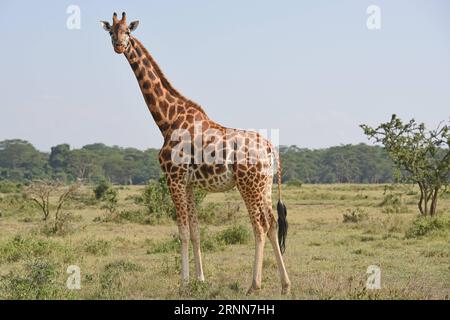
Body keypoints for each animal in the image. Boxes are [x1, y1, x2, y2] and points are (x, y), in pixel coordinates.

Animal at [101, 12, 292, 294]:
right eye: (111, 31)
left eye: (128, 31)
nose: (118, 45)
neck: (167, 120)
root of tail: (270, 149)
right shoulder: (189, 183)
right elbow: (195, 230)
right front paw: (200, 279)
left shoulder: (174, 179)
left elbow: (181, 231)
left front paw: (183, 282)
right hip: (264, 184)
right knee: (272, 224)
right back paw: (285, 285)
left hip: (248, 184)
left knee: (259, 226)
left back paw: (253, 286)